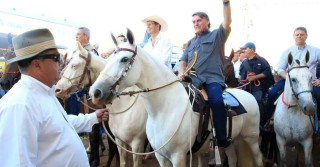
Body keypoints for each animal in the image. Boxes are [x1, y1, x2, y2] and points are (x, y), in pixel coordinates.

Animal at [88, 29, 262, 167]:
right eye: (108, 59)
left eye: (124, 59)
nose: (95, 92)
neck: (164, 110)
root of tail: (248, 95)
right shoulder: (161, 156)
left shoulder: (177, 156)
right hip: (230, 141)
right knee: (232, 159)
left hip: (252, 139)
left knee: (258, 158)